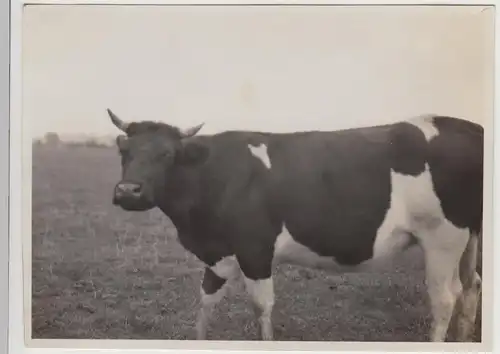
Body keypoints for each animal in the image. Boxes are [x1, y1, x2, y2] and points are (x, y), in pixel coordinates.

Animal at [106, 108, 484, 342]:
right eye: (125, 151)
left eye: (167, 154)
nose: (127, 190)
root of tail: (466, 125)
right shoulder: (218, 254)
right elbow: (206, 302)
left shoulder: (255, 250)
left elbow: (261, 307)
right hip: (470, 238)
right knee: (472, 286)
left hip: (443, 238)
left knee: (445, 298)